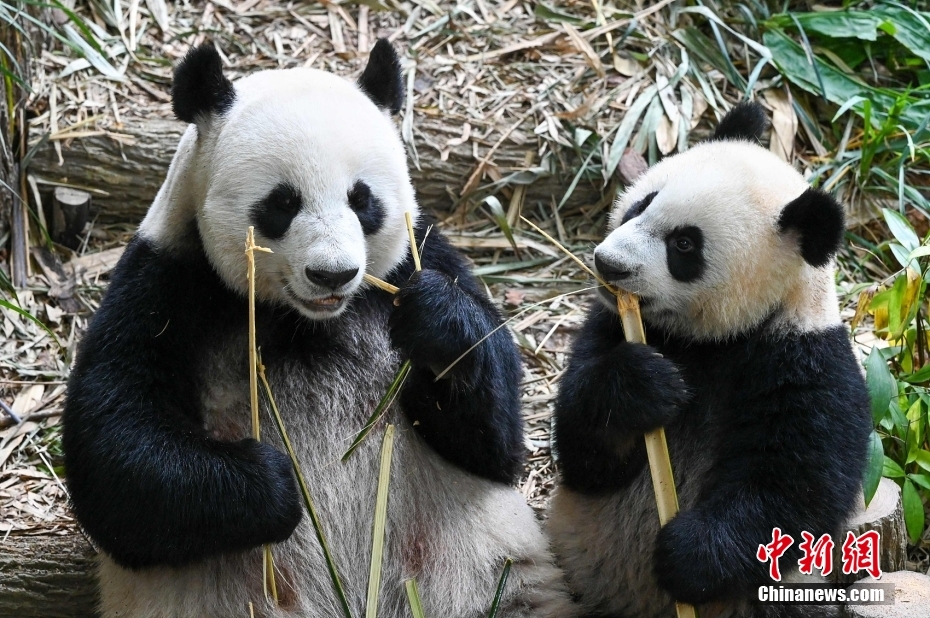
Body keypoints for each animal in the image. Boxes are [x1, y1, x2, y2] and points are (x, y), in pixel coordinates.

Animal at [63, 42, 572, 616]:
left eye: (361, 198)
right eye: (282, 202)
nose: (334, 274)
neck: (307, 320)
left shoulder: (417, 258)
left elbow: (497, 440)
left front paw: (438, 322)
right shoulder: (164, 283)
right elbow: (117, 463)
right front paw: (275, 482)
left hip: (481, 576)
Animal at [544, 102, 872, 616]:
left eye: (684, 244)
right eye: (643, 203)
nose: (609, 264)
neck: (712, 339)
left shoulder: (805, 361)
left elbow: (794, 482)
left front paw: (688, 556)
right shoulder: (609, 328)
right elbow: (584, 453)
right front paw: (643, 386)